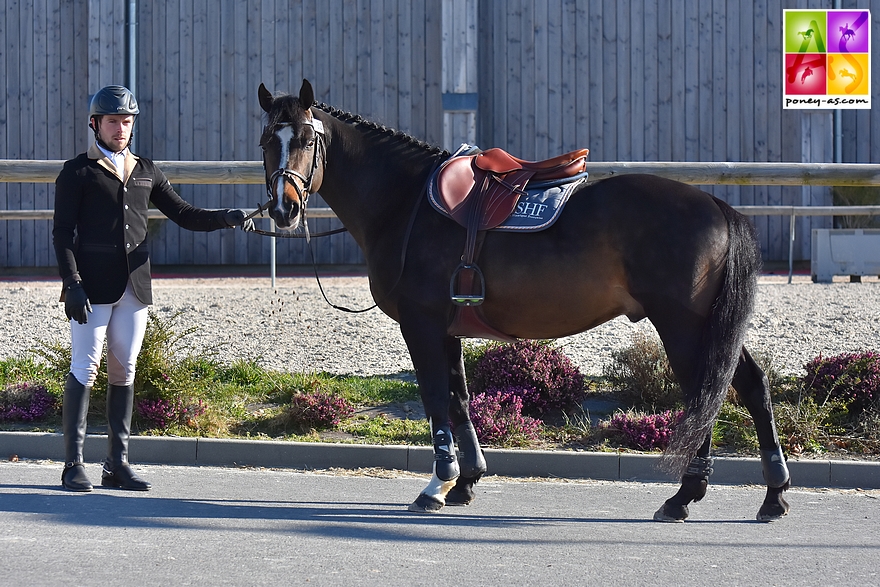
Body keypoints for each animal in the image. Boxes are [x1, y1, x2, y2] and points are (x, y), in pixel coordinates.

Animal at [254, 79, 792, 524]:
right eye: (266, 142)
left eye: (306, 140)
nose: (284, 208)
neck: (406, 203)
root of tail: (716, 205)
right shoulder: (447, 328)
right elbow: (459, 399)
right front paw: (465, 481)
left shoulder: (420, 323)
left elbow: (435, 399)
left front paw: (437, 485)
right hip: (705, 326)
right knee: (747, 385)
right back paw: (770, 494)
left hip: (683, 326)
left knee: (710, 393)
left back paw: (686, 496)